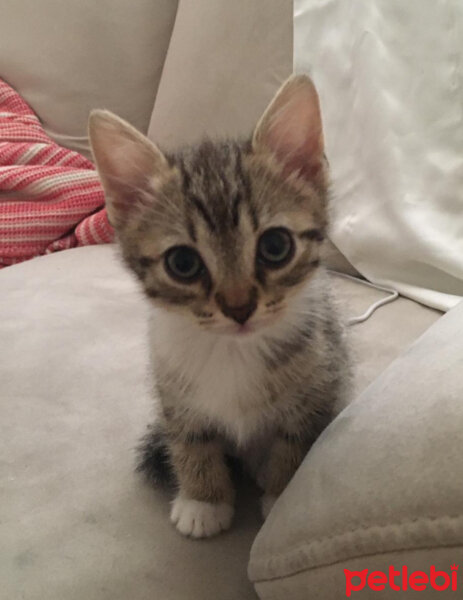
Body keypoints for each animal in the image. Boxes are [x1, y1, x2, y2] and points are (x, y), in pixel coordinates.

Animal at [89, 75, 352, 540]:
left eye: (276, 246)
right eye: (182, 263)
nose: (239, 307)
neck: (234, 350)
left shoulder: (323, 379)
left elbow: (299, 438)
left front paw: (280, 494)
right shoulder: (172, 390)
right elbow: (190, 438)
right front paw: (203, 499)